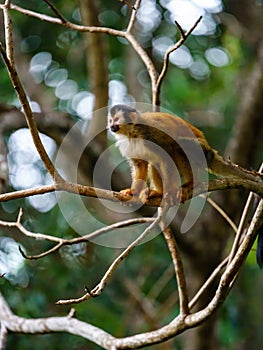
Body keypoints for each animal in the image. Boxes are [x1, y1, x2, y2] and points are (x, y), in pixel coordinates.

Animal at [108, 104, 260, 205]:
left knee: (178, 147)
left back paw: (192, 183)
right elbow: (140, 165)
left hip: (203, 152)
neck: (132, 132)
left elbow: (167, 153)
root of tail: (212, 152)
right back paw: (159, 192)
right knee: (155, 162)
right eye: (110, 120)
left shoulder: (150, 133)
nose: (111, 126)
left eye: (116, 119)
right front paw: (133, 191)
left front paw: (170, 192)